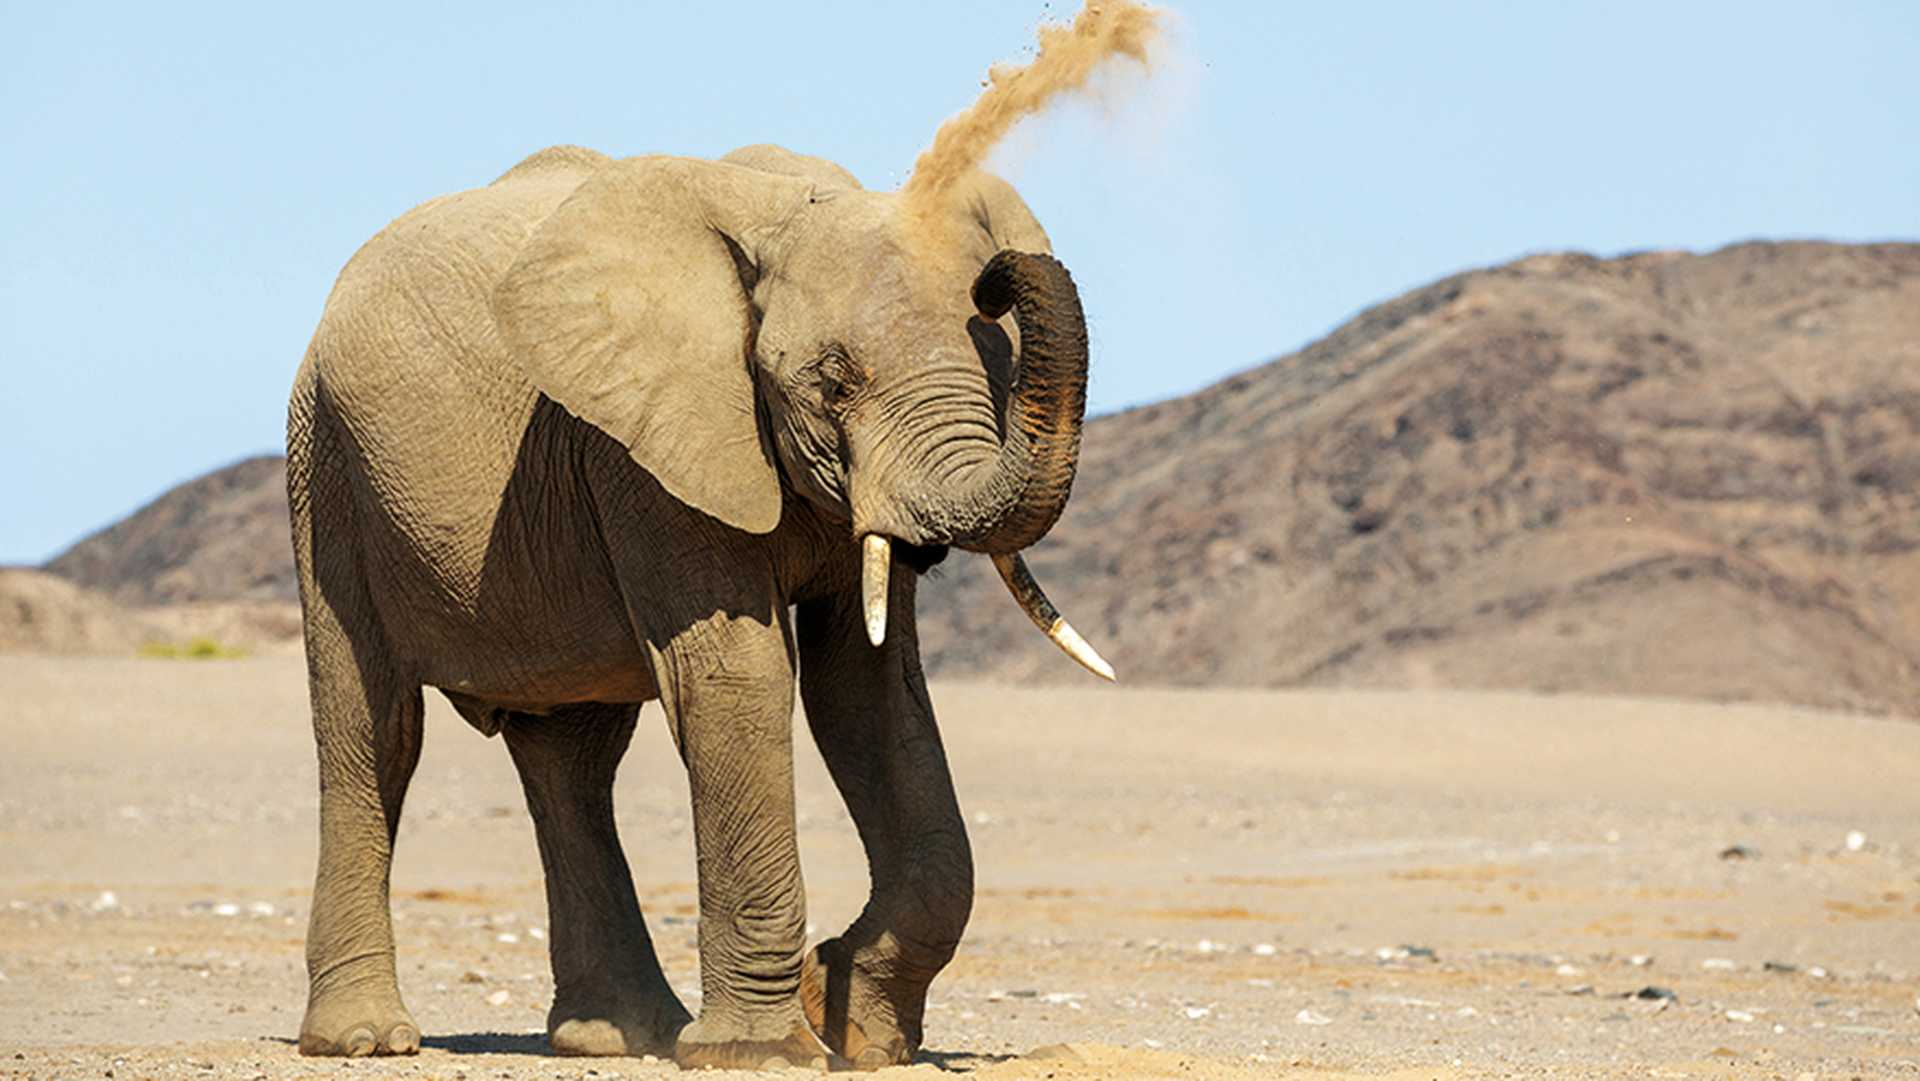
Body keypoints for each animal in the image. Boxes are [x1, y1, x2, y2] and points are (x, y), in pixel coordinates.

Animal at [285, 142, 1111, 1070]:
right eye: (833, 381)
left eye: (1000, 368)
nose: (999, 279)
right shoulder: (648, 450)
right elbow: (738, 678)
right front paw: (767, 1052)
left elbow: (866, 694)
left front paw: (853, 1026)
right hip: (325, 462)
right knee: (375, 731)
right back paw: (365, 1039)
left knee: (573, 761)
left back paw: (621, 1036)